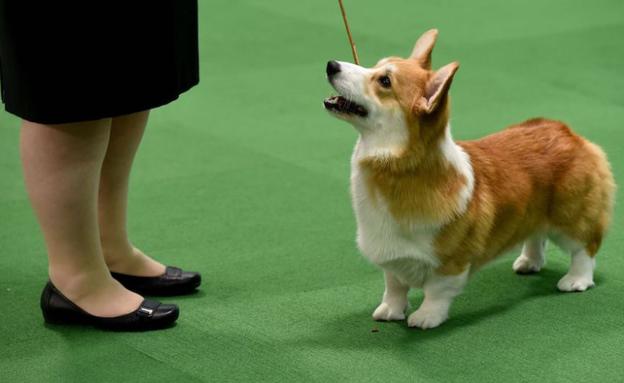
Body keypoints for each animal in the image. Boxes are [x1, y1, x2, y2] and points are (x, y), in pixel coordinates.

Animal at [324, 30, 616, 330]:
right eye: (375, 66)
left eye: (384, 81)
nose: (331, 65)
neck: (396, 167)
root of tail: (568, 132)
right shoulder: (393, 257)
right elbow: (394, 286)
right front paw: (390, 311)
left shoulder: (451, 262)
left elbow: (436, 292)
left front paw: (426, 317)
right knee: (536, 235)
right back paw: (528, 262)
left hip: (571, 216)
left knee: (585, 248)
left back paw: (576, 280)